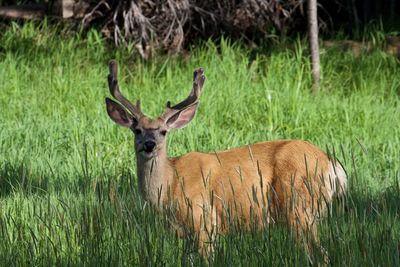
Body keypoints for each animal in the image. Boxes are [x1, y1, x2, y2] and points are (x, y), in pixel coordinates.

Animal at [104, 59, 346, 262]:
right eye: (137, 130)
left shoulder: (204, 220)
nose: (149, 144)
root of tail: (331, 164)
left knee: (321, 255)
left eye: (163, 131)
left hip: (300, 208)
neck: (170, 184)